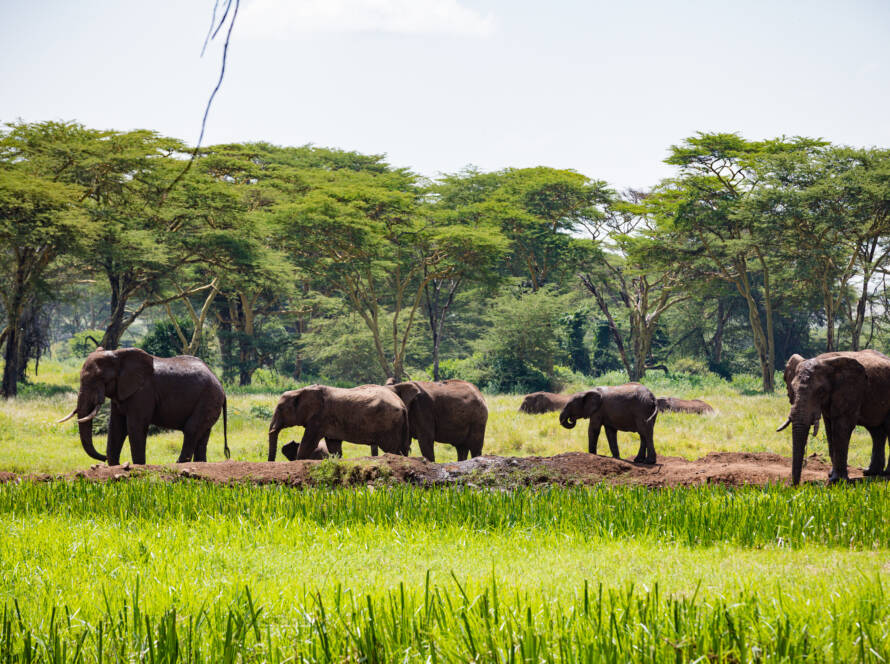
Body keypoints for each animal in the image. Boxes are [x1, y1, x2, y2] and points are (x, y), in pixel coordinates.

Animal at [57, 347, 228, 465]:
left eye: (100, 378)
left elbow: (135, 426)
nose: (103, 457)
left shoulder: (143, 392)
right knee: (203, 434)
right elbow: (117, 427)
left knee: (191, 430)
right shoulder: (121, 392)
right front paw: (115, 466)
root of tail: (220, 385)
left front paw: (138, 466)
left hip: (208, 398)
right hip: (210, 401)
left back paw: (179, 465)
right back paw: (201, 464)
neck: (118, 355)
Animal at [268, 384, 409, 461]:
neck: (300, 391)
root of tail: (402, 405)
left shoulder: (318, 418)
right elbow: (334, 446)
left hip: (388, 424)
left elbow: (308, 443)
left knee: (392, 449)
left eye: (280, 408)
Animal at [779, 350, 890, 484]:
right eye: (793, 390)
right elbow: (829, 429)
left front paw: (836, 481)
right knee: (876, 431)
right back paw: (870, 472)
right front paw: (831, 475)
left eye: (820, 391)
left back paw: (886, 473)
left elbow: (841, 427)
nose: (795, 485)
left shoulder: (850, 391)